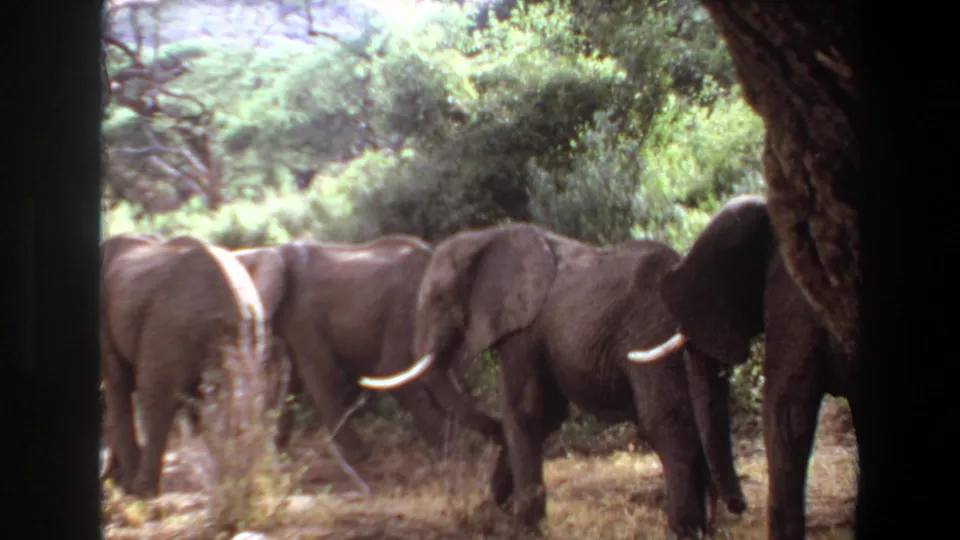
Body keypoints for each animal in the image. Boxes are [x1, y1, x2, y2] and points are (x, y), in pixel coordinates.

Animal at [99, 233, 268, 496]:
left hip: (169, 323)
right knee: (239, 398)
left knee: (154, 395)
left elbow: (118, 387)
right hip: (250, 331)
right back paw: (235, 485)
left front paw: (122, 486)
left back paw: (142, 491)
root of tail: (238, 302)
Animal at [359, 223, 746, 538]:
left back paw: (682, 530)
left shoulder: (524, 331)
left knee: (666, 424)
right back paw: (707, 529)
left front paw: (522, 527)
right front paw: (495, 510)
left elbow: (526, 411)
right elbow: (547, 415)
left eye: (438, 298)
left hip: (650, 331)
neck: (488, 237)